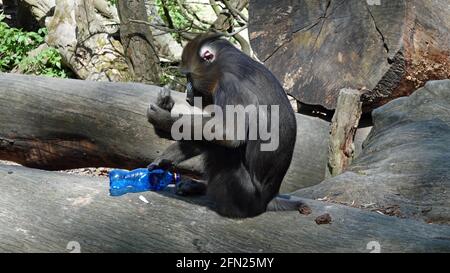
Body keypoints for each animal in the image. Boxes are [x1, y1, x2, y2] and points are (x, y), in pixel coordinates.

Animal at [146, 33, 304, 217]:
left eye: (189, 76)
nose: (187, 94)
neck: (227, 65)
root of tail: (268, 200)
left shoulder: (230, 86)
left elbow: (228, 135)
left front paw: (161, 119)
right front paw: (169, 154)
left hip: (244, 197)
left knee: (223, 151)